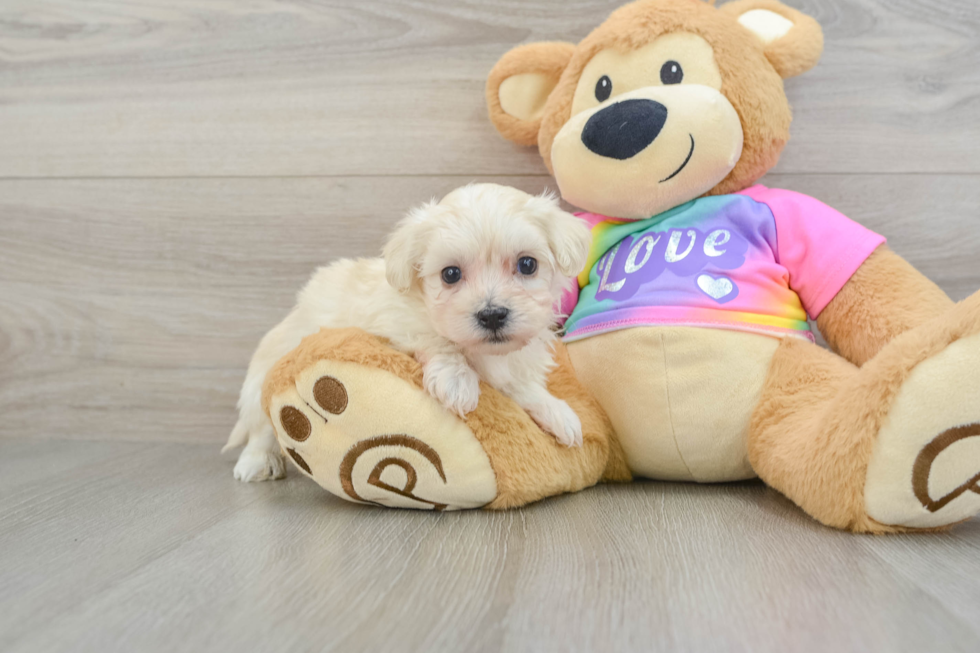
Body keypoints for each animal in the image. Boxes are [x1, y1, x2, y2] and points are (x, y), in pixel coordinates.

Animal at [225, 182, 588, 478]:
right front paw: (457, 380)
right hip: (263, 376)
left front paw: (556, 411)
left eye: (527, 264)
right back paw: (257, 462)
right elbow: (436, 339)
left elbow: (521, 386)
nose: (492, 315)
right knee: (262, 428)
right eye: (450, 274)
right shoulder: (393, 322)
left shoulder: (512, 365)